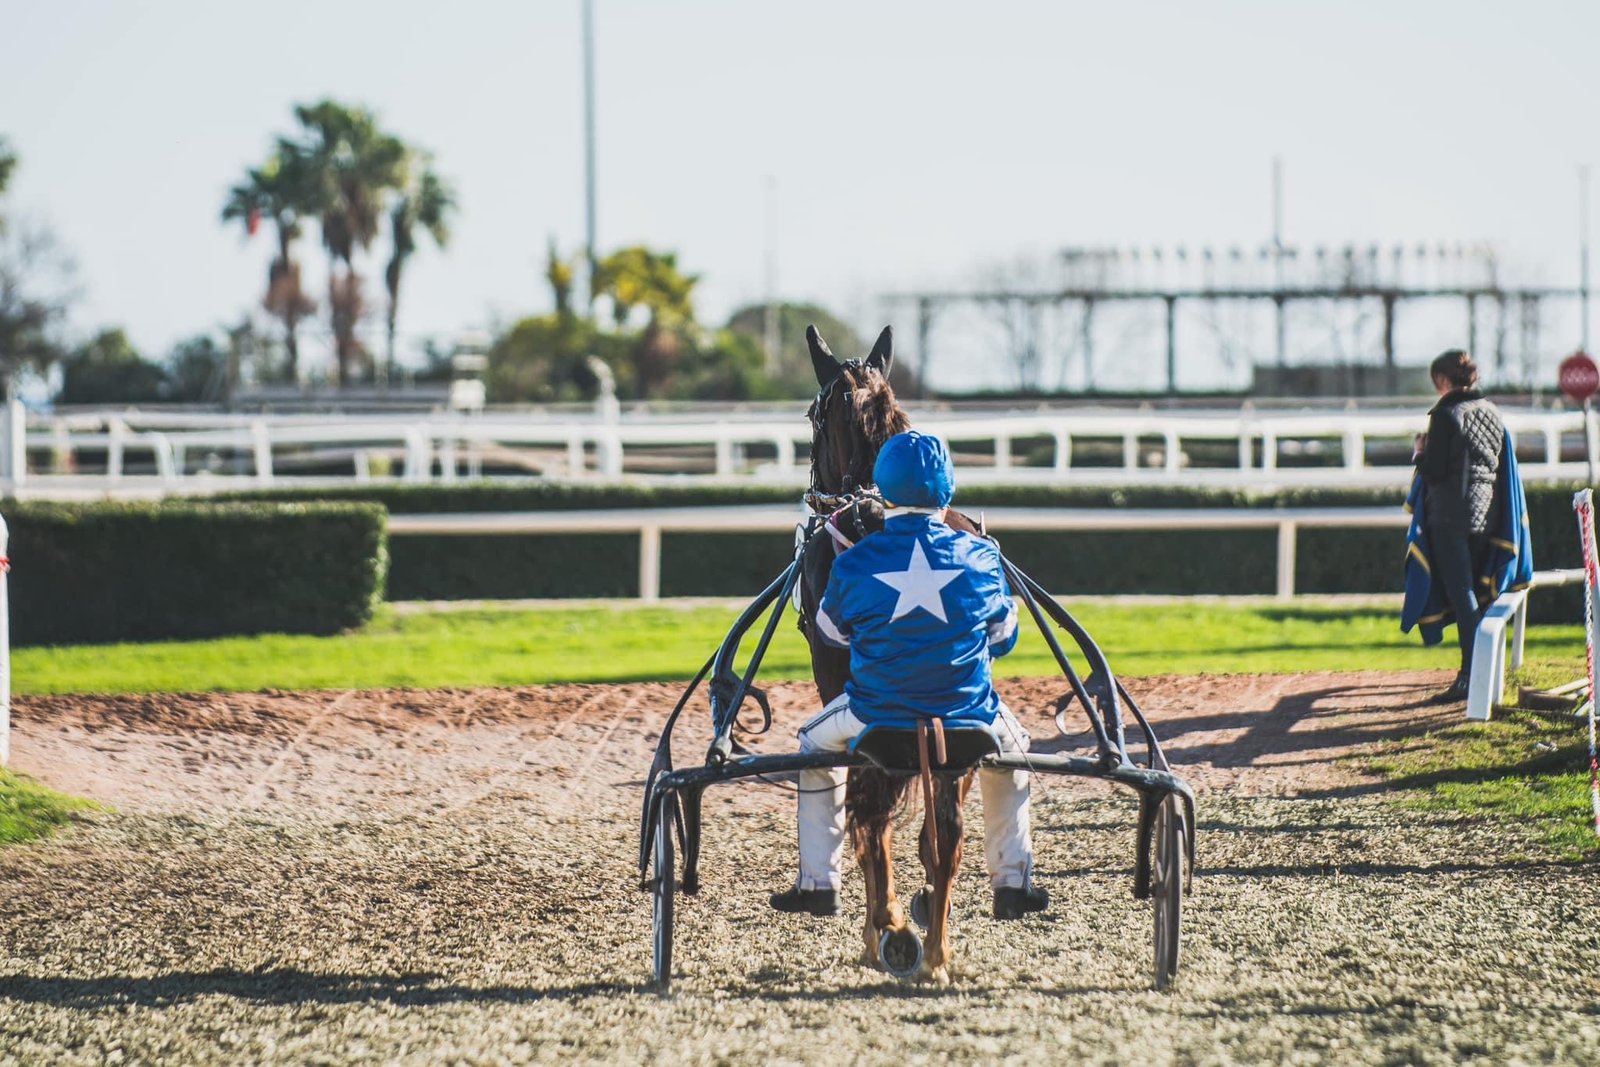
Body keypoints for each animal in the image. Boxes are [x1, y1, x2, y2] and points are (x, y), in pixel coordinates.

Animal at [790, 323, 979, 985]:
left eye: (811, 416)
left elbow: (869, 820)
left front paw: (886, 924)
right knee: (944, 831)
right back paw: (937, 950)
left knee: (873, 821)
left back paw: (889, 933)